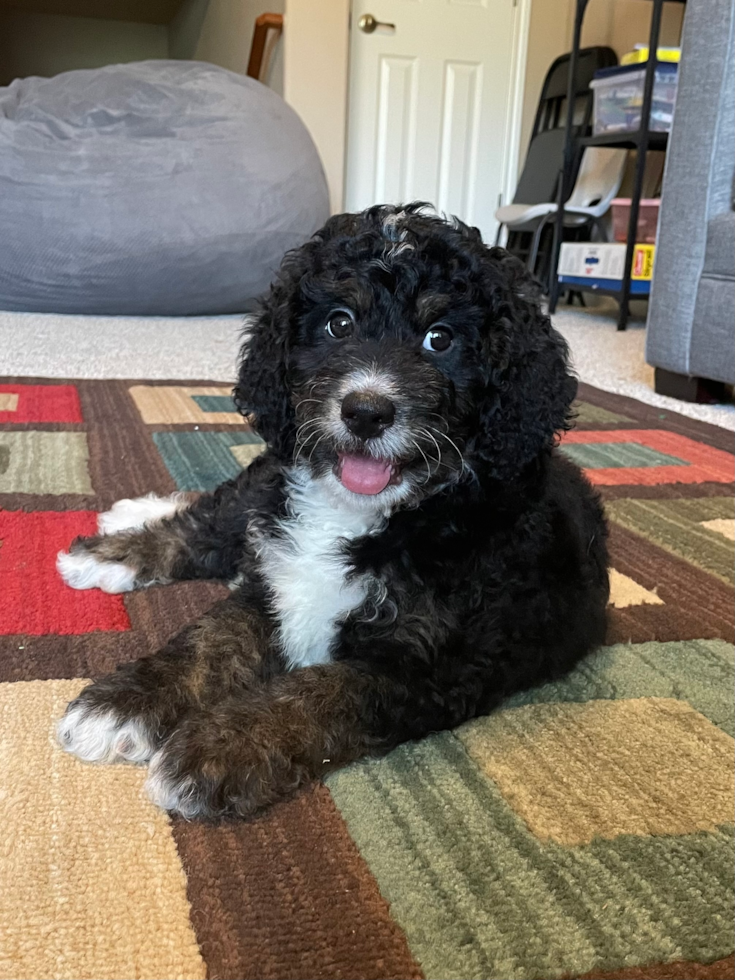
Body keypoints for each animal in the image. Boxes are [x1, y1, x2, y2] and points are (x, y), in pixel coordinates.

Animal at [56, 205, 608, 820]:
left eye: (440, 338)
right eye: (339, 324)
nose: (366, 412)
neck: (373, 514)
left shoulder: (428, 664)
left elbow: (319, 693)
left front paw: (214, 749)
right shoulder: (275, 576)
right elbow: (209, 638)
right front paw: (123, 703)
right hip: (273, 475)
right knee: (217, 516)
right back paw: (116, 545)